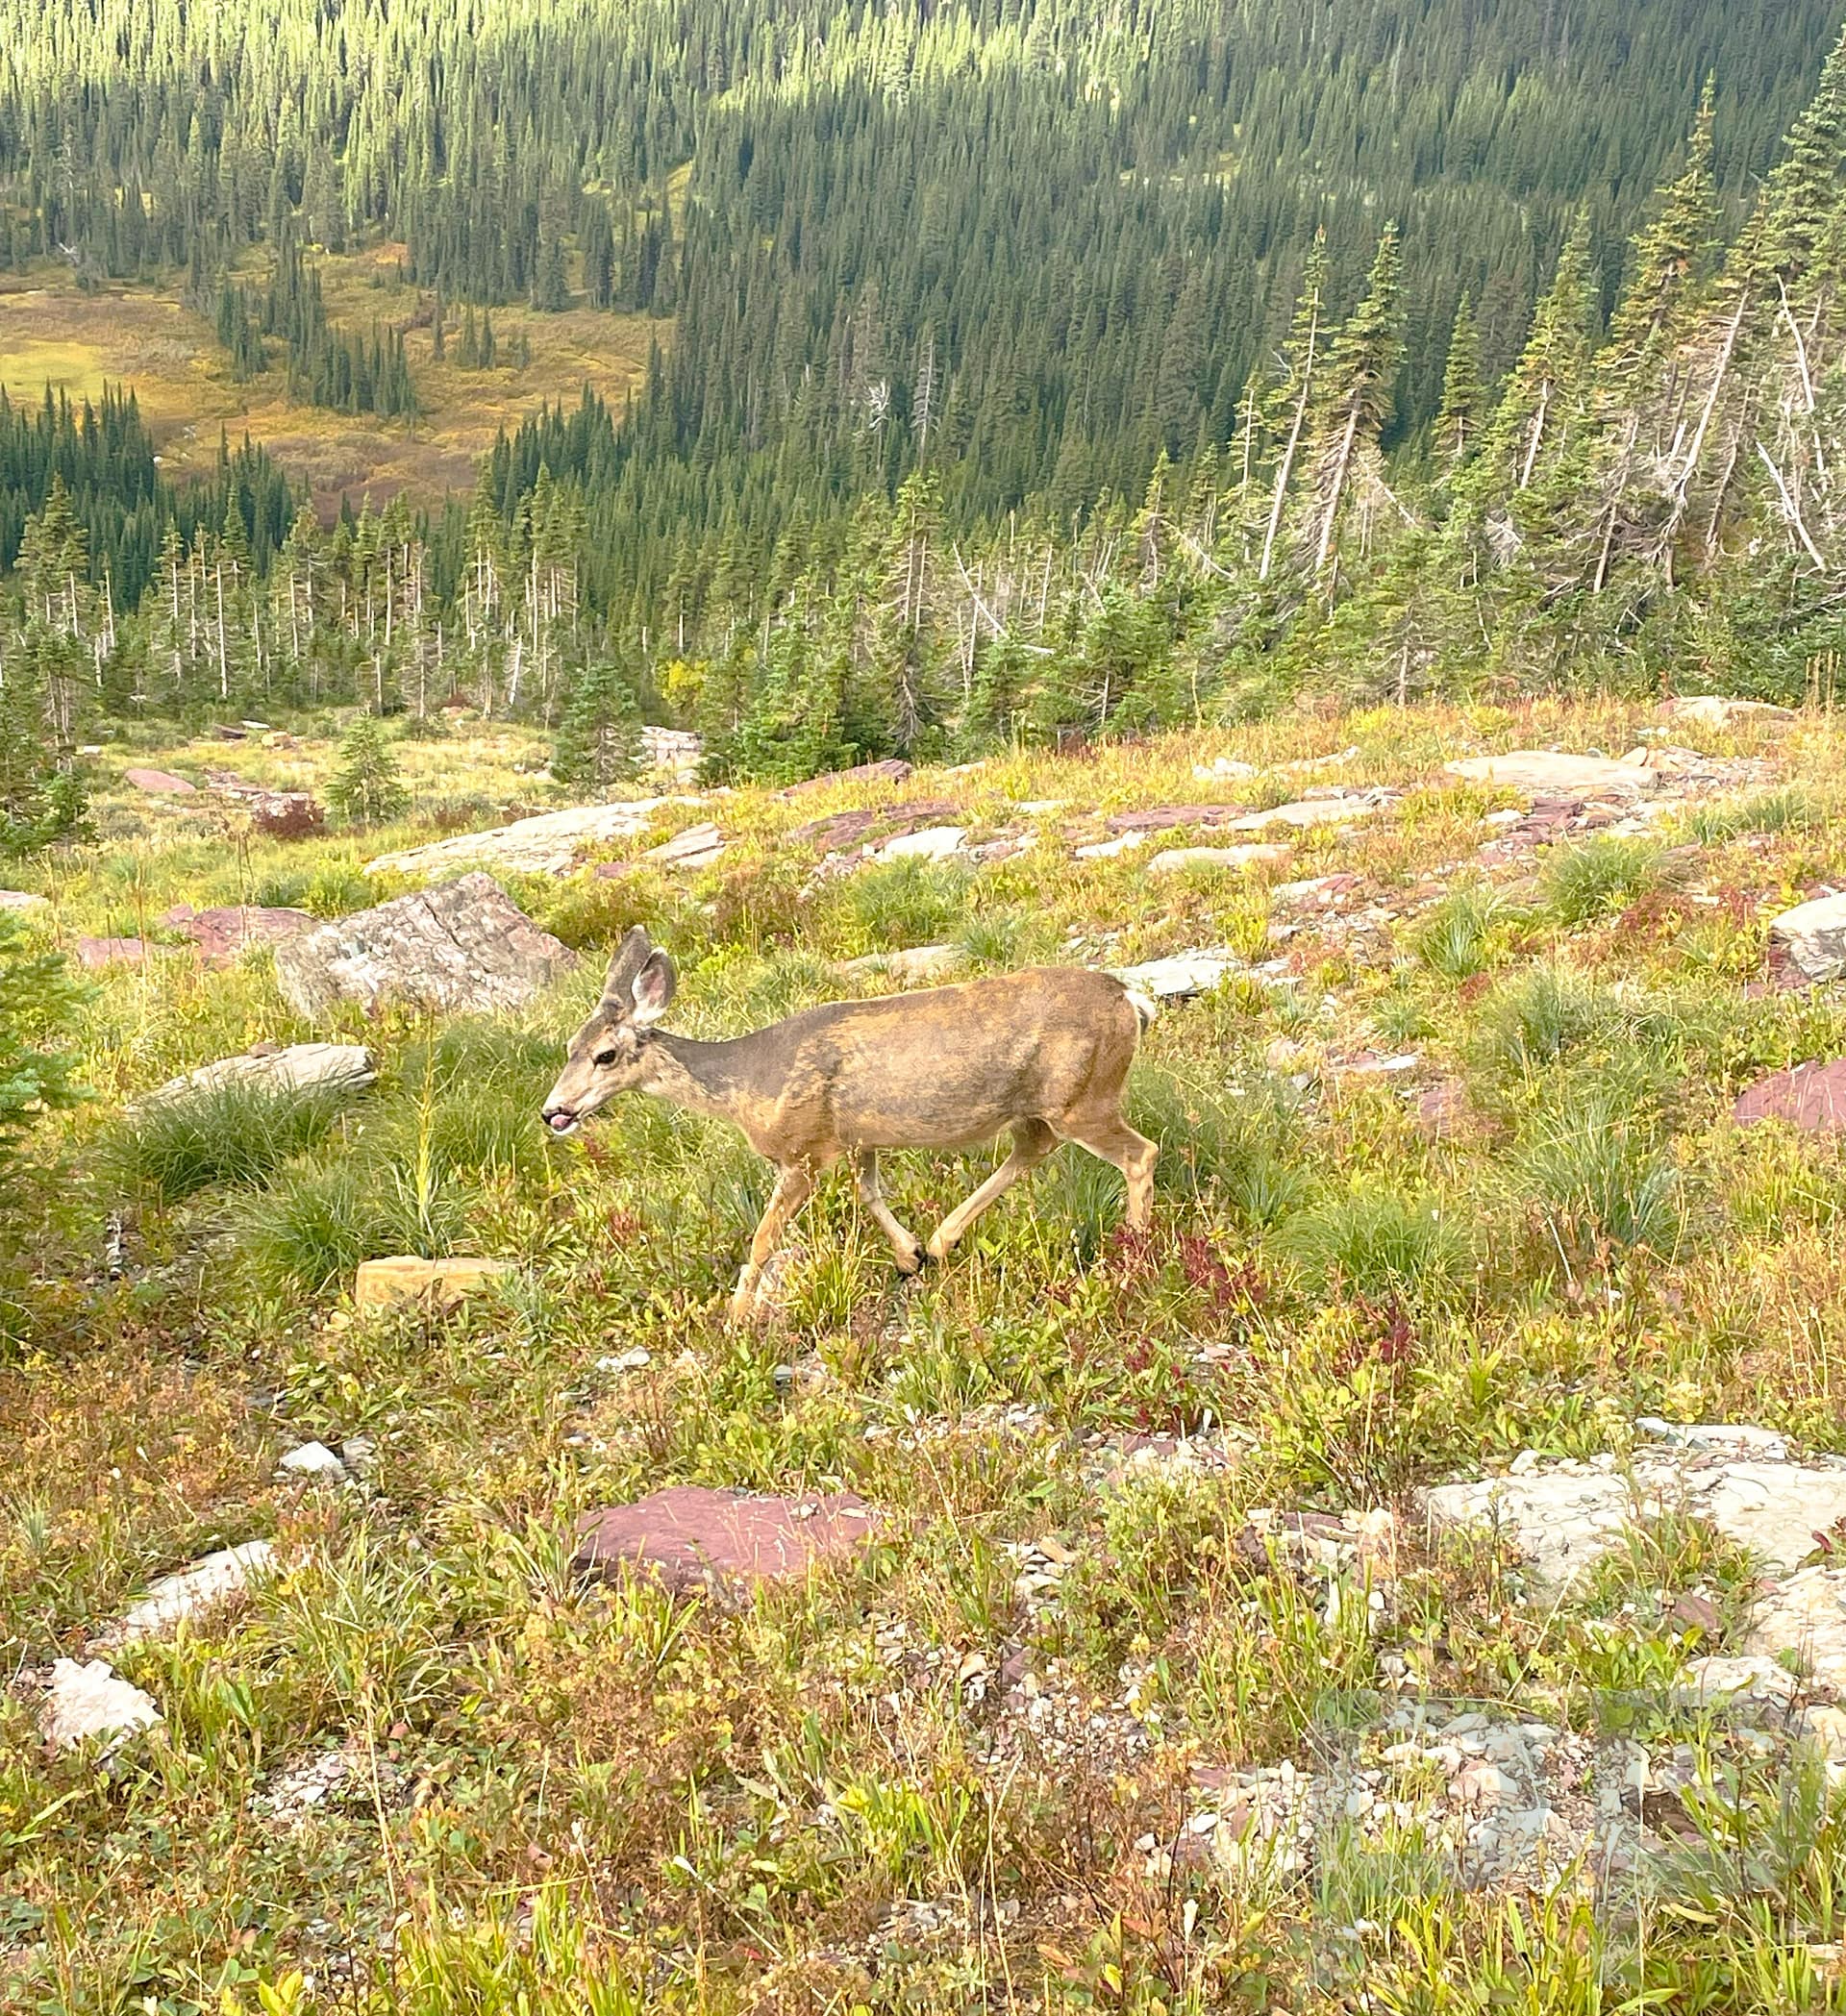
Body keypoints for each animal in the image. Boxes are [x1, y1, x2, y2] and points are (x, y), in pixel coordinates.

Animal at [542, 927, 1160, 1324]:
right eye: (568, 1045)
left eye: (604, 1055)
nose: (554, 1111)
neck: (748, 1084)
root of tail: (1132, 999)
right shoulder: (857, 1137)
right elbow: (869, 1190)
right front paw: (909, 1255)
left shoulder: (802, 1151)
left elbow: (763, 1239)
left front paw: (734, 1318)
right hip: (1042, 1106)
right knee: (1033, 1150)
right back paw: (942, 1241)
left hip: (1085, 1097)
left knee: (1140, 1153)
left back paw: (1134, 1253)